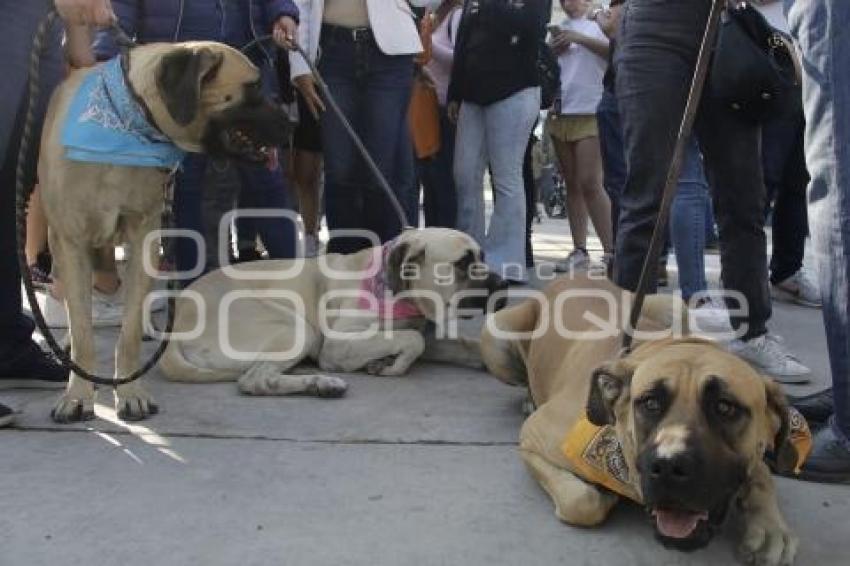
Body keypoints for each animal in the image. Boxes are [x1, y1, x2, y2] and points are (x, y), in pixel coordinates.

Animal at [39, 42, 290, 424]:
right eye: (254, 87)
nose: (293, 123)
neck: (129, 124)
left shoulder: (145, 233)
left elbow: (127, 332)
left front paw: (131, 392)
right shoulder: (71, 241)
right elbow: (82, 330)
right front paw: (78, 394)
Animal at [159, 229, 504, 398]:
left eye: (483, 256)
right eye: (463, 262)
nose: (504, 285)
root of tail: (176, 325)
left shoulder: (427, 335)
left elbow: (464, 345)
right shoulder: (338, 345)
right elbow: (410, 341)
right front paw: (391, 365)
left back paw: (319, 383)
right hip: (299, 330)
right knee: (254, 380)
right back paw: (322, 383)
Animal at [480, 276, 804, 566]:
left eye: (725, 407)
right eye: (650, 403)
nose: (671, 467)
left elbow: (761, 472)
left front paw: (769, 527)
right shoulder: (533, 437)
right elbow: (582, 503)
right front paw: (602, 497)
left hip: (671, 305)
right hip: (497, 333)